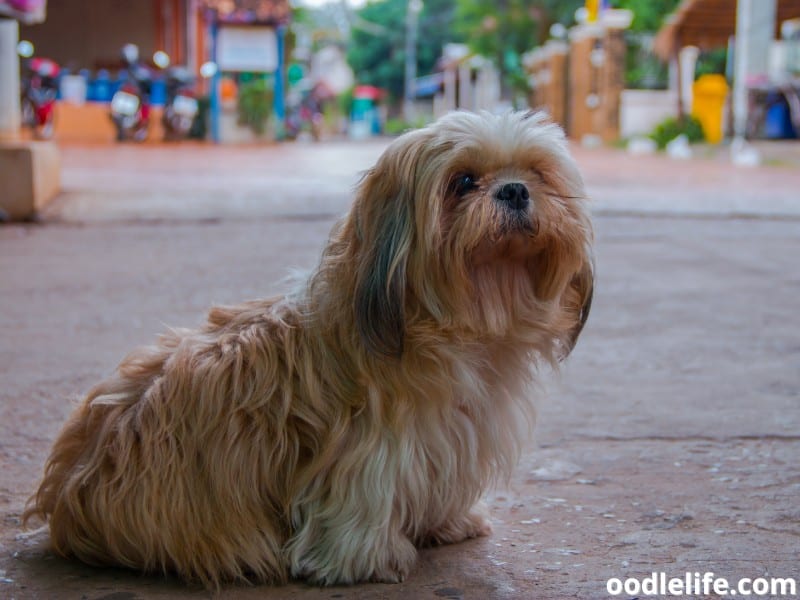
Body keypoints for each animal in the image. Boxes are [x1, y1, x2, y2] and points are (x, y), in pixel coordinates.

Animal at [23, 110, 592, 588]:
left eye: (537, 173)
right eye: (464, 182)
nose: (515, 190)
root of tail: (67, 501)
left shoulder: (451, 439)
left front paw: (445, 522)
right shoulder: (372, 449)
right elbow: (362, 498)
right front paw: (368, 559)